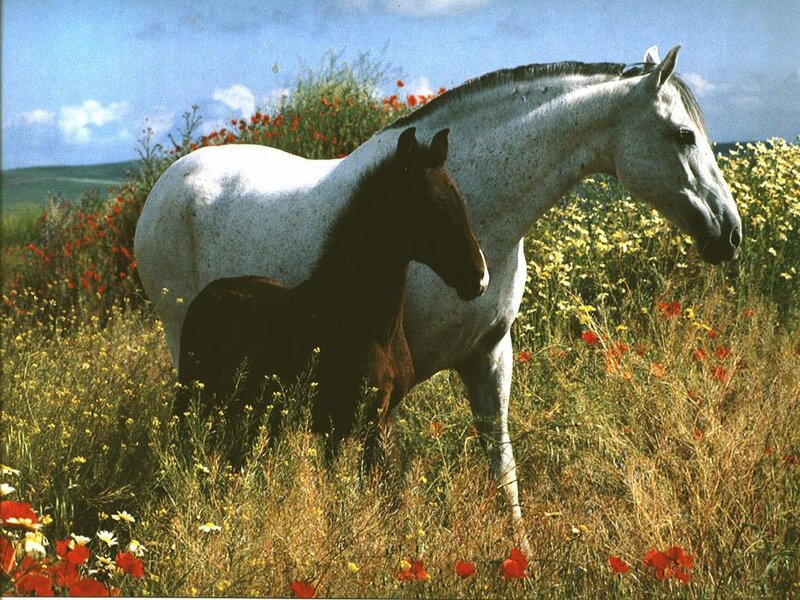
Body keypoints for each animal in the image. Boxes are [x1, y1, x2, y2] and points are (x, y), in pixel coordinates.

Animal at [175, 127, 488, 466]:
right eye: (426, 207)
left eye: (459, 200)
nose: (479, 278)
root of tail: (208, 293)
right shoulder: (340, 422)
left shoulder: (379, 419)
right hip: (194, 396)